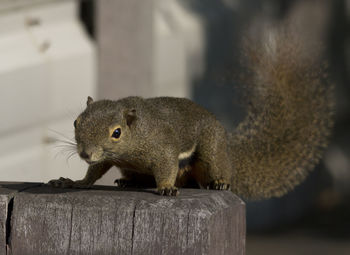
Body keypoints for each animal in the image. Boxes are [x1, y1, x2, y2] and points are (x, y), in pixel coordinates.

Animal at [48, 26, 334, 200]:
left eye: (116, 132)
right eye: (76, 122)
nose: (85, 153)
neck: (134, 138)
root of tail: (230, 154)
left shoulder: (162, 147)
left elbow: (166, 166)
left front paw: (166, 188)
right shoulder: (108, 157)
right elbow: (95, 171)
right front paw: (75, 182)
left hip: (211, 151)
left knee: (215, 170)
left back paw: (220, 182)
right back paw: (130, 182)